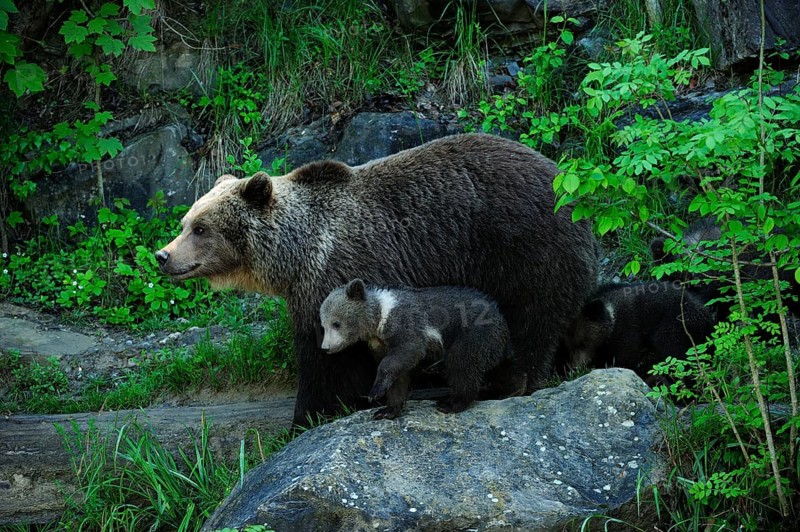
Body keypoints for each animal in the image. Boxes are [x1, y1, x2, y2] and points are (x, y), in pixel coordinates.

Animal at [319, 279, 517, 419]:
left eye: (336, 323)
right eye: (323, 325)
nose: (325, 347)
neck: (379, 319)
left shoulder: (406, 324)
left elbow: (406, 352)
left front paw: (375, 392)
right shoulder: (380, 343)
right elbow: (399, 373)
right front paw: (387, 410)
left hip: (474, 333)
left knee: (461, 363)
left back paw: (451, 403)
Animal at [561, 281, 716, 385]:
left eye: (582, 343)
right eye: (568, 347)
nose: (575, 369)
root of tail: (705, 316)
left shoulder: (627, 329)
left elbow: (625, 359)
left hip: (676, 326)